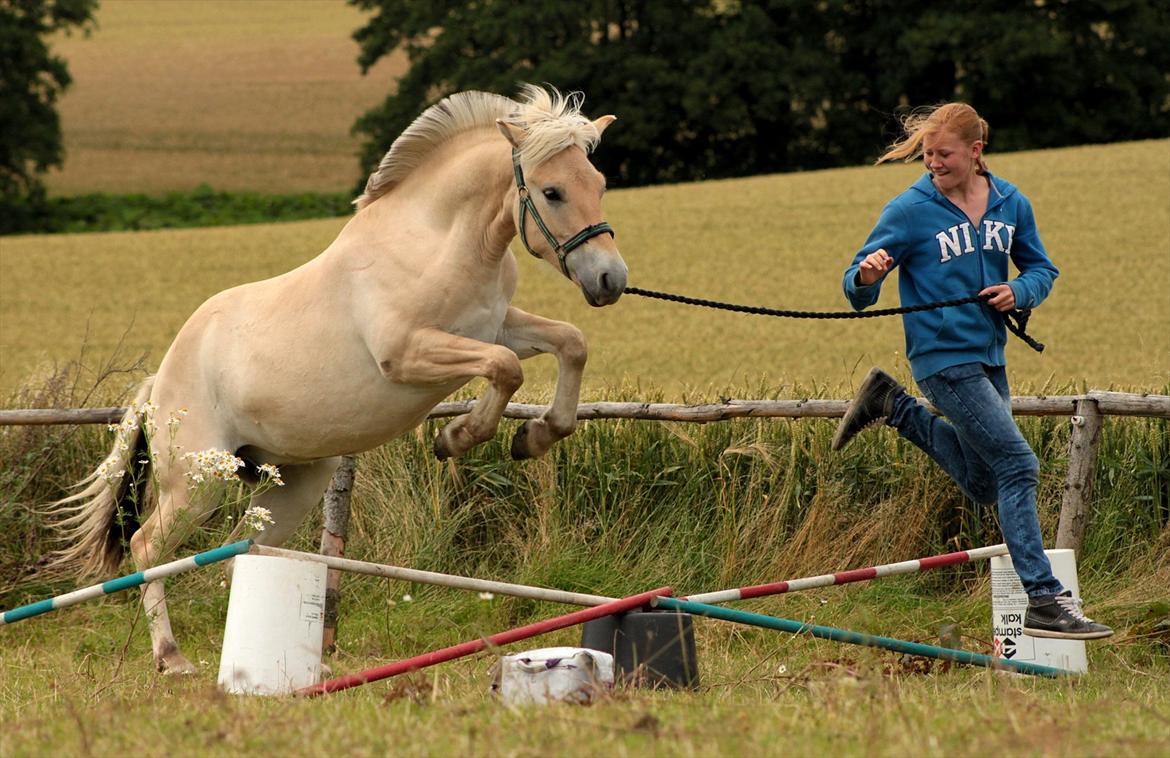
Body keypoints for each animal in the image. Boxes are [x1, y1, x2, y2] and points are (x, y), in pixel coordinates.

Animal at [49, 85, 627, 673]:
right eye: (552, 192)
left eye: (599, 185)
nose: (610, 279)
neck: (440, 242)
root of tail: (159, 386)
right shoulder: (409, 353)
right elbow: (504, 368)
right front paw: (456, 437)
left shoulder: (499, 326)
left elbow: (570, 343)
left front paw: (535, 436)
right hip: (197, 482)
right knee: (148, 549)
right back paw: (172, 659)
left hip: (293, 484)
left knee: (240, 556)